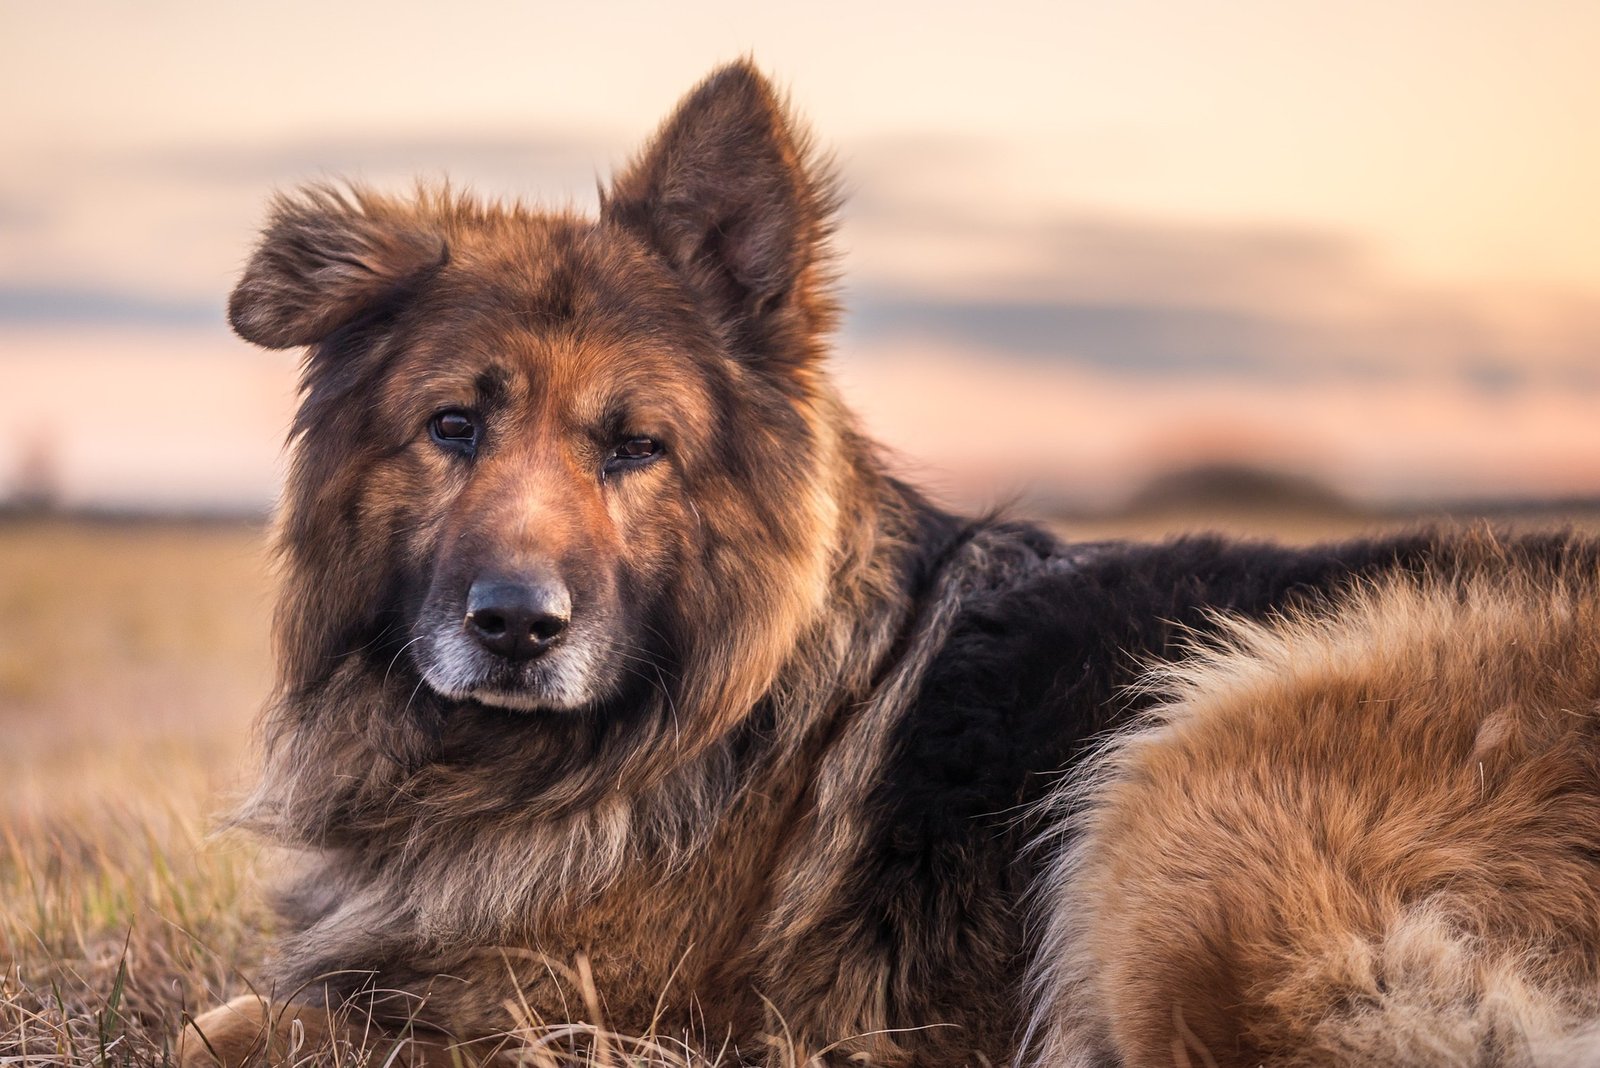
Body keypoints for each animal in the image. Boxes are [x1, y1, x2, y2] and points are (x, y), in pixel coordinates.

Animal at [181, 62, 1600, 1061]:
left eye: (637, 447)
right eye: (453, 429)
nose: (518, 627)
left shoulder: (559, 1013)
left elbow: (224, 1028)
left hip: (1182, 789)